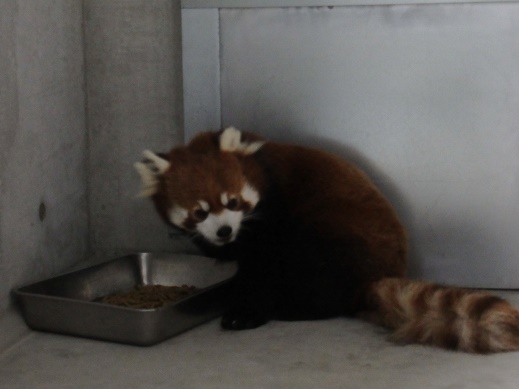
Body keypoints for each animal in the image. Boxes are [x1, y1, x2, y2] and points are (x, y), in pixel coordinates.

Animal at [134, 126, 519, 352]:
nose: (224, 231)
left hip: (333, 238)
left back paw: (282, 309)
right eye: (199, 212)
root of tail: (372, 278)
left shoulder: (273, 214)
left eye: (232, 202)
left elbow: (262, 268)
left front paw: (248, 305)